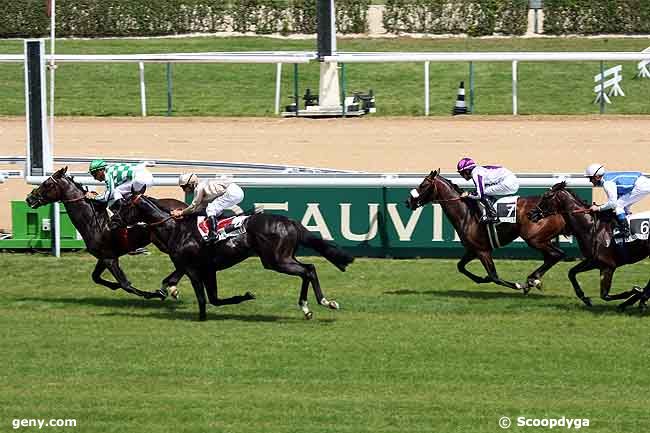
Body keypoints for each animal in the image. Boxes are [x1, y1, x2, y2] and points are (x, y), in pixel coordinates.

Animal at [23, 166, 185, 300]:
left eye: (47, 184)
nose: (29, 198)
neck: (94, 220)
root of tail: (183, 207)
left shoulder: (109, 258)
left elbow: (125, 284)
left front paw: (153, 294)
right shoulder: (103, 257)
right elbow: (95, 277)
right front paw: (114, 286)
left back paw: (169, 287)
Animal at [114, 189, 352, 320]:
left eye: (123, 206)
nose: (113, 221)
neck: (176, 228)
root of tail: (290, 222)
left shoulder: (192, 268)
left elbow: (202, 296)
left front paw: (200, 316)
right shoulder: (206, 268)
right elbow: (209, 296)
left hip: (276, 260)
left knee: (307, 270)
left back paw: (318, 303)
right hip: (284, 257)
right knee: (309, 269)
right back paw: (314, 306)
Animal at [404, 170, 568, 292]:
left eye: (423, 185)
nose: (408, 201)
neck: (466, 214)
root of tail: (556, 210)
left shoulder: (483, 250)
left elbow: (494, 276)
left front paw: (518, 285)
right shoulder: (472, 249)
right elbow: (460, 267)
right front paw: (481, 279)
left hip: (534, 239)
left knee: (556, 254)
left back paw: (531, 280)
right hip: (542, 239)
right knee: (552, 256)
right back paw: (535, 279)